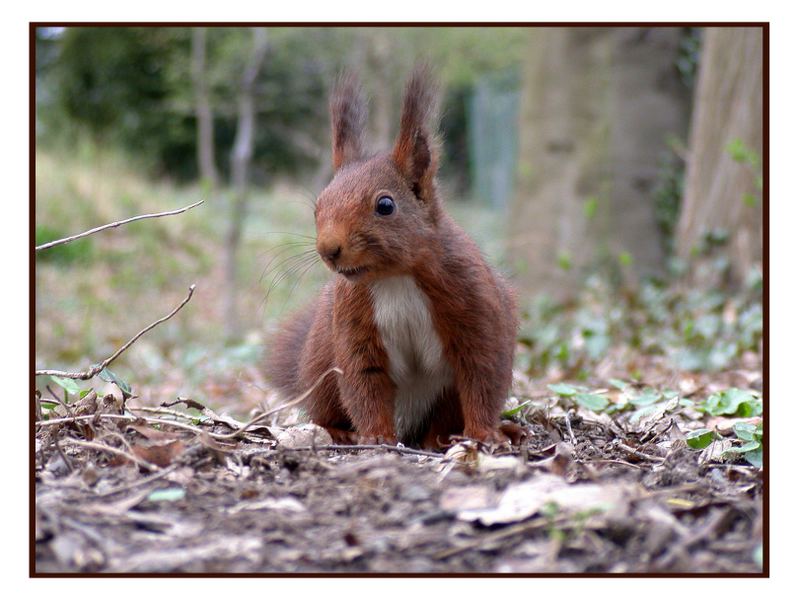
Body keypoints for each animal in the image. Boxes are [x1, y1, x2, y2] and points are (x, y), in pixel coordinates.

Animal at [268, 68, 520, 448]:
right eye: (318, 206)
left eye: (385, 205)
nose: (328, 249)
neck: (395, 278)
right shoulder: (353, 322)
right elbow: (364, 379)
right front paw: (375, 436)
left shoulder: (475, 305)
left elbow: (482, 372)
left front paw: (484, 434)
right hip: (321, 366)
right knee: (325, 408)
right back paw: (338, 431)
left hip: (444, 397)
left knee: (444, 416)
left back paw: (446, 438)